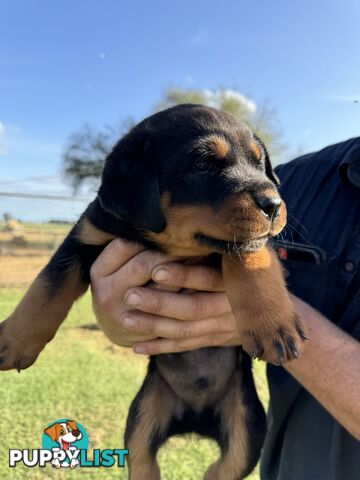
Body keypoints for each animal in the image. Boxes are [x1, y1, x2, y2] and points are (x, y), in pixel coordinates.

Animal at [0, 105, 310, 480]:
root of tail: (195, 421)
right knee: (143, 459)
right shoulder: (85, 236)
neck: (169, 246)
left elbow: (248, 258)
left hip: (247, 427)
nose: (274, 204)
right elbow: (46, 287)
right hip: (144, 416)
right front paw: (13, 341)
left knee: (224, 467)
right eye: (202, 164)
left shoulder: (252, 241)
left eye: (259, 163)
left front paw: (272, 325)